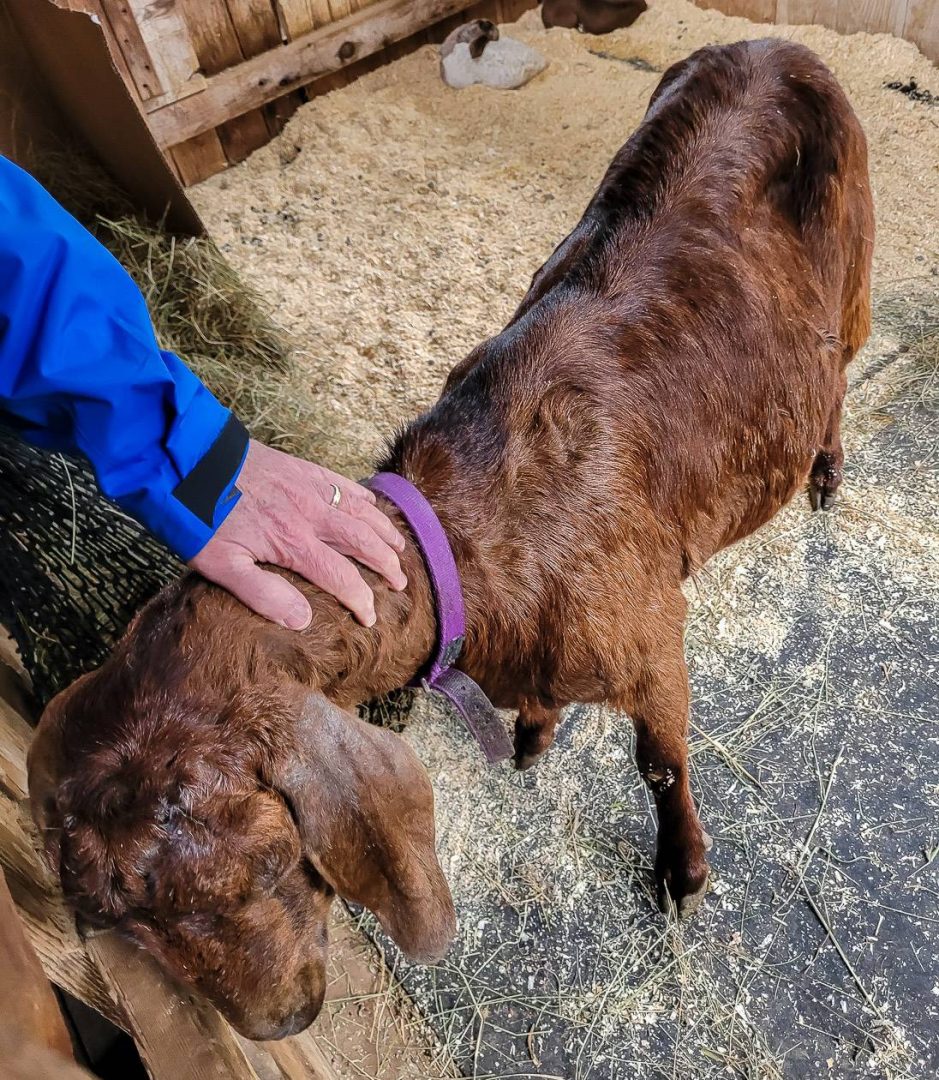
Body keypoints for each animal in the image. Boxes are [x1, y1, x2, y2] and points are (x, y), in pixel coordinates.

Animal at [29, 39, 873, 1036]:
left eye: (269, 863)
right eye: (119, 917)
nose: (281, 1022)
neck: (473, 550)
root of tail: (770, 43)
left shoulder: (649, 631)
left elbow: (660, 762)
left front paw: (684, 872)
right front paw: (536, 738)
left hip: (851, 262)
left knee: (839, 366)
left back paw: (825, 471)